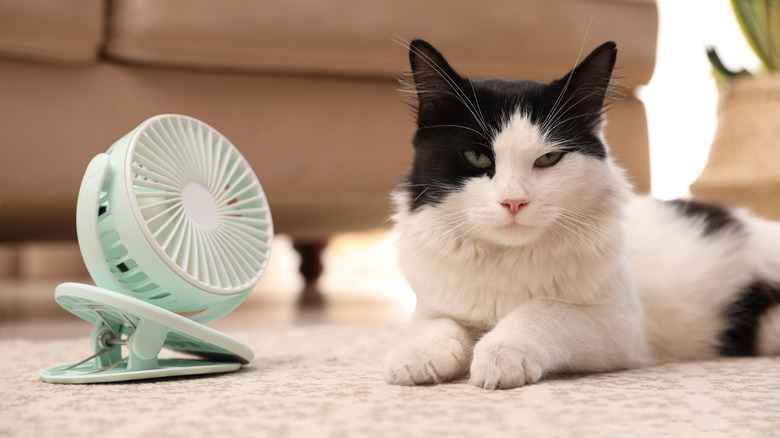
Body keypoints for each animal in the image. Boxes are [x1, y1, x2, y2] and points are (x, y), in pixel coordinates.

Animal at [384, 40, 780, 390]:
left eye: (548, 158)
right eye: (477, 157)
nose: (514, 202)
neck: (508, 262)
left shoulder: (620, 324)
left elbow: (540, 310)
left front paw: (500, 352)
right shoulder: (432, 305)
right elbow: (437, 324)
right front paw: (417, 355)